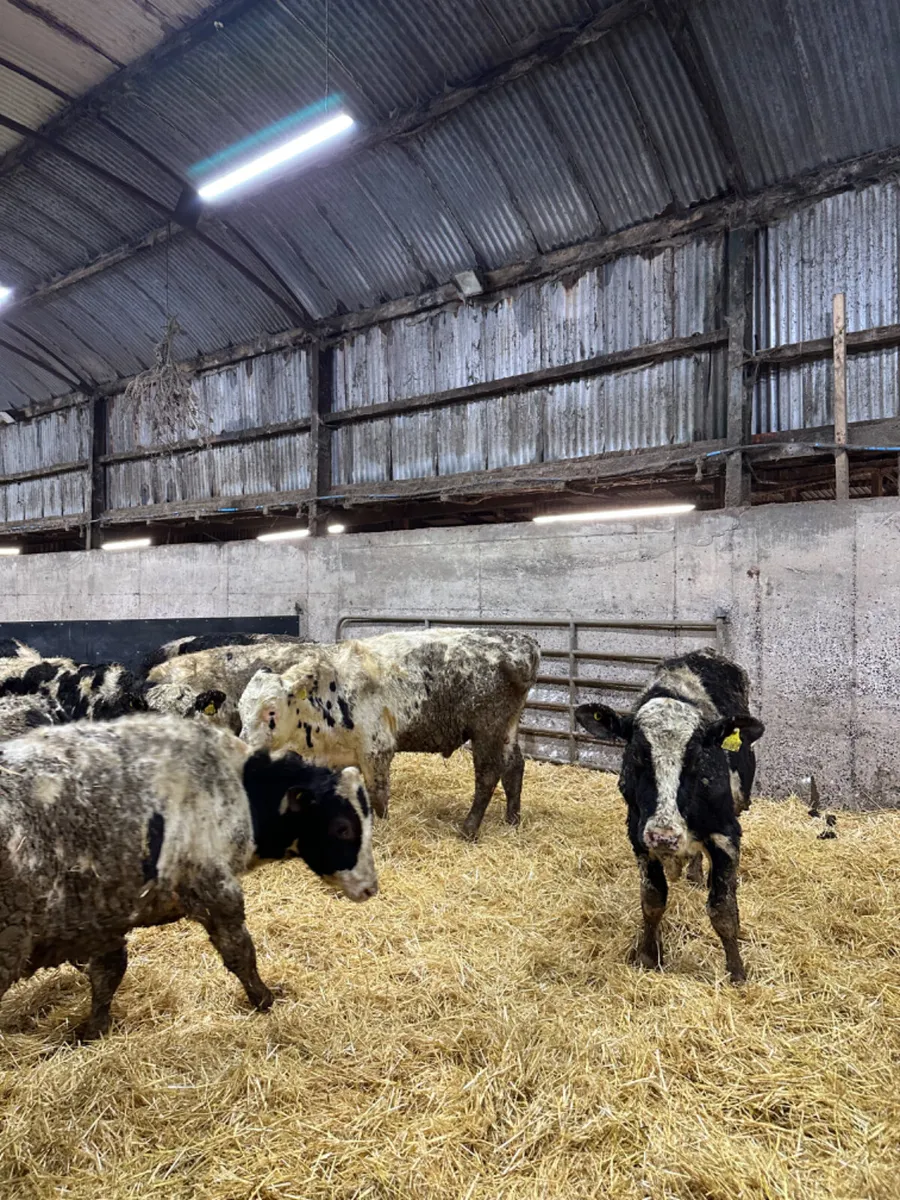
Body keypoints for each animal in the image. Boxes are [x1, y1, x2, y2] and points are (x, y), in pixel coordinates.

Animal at [0, 714, 376, 1041]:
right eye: (342, 827)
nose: (371, 888)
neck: (238, 789)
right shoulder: (213, 886)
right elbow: (240, 953)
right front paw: (264, 999)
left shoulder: (101, 916)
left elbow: (108, 972)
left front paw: (95, 1029)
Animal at [237, 628, 540, 840]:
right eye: (240, 709)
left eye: (271, 712)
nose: (243, 746)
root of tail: (521, 641)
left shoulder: (376, 749)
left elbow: (378, 795)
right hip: (508, 727)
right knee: (514, 767)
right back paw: (512, 820)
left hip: (487, 729)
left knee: (488, 775)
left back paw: (469, 829)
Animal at [575, 649, 764, 983]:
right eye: (637, 754)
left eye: (697, 757)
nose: (664, 836)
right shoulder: (639, 836)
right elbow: (653, 900)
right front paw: (648, 956)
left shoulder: (726, 834)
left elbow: (723, 909)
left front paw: (737, 972)